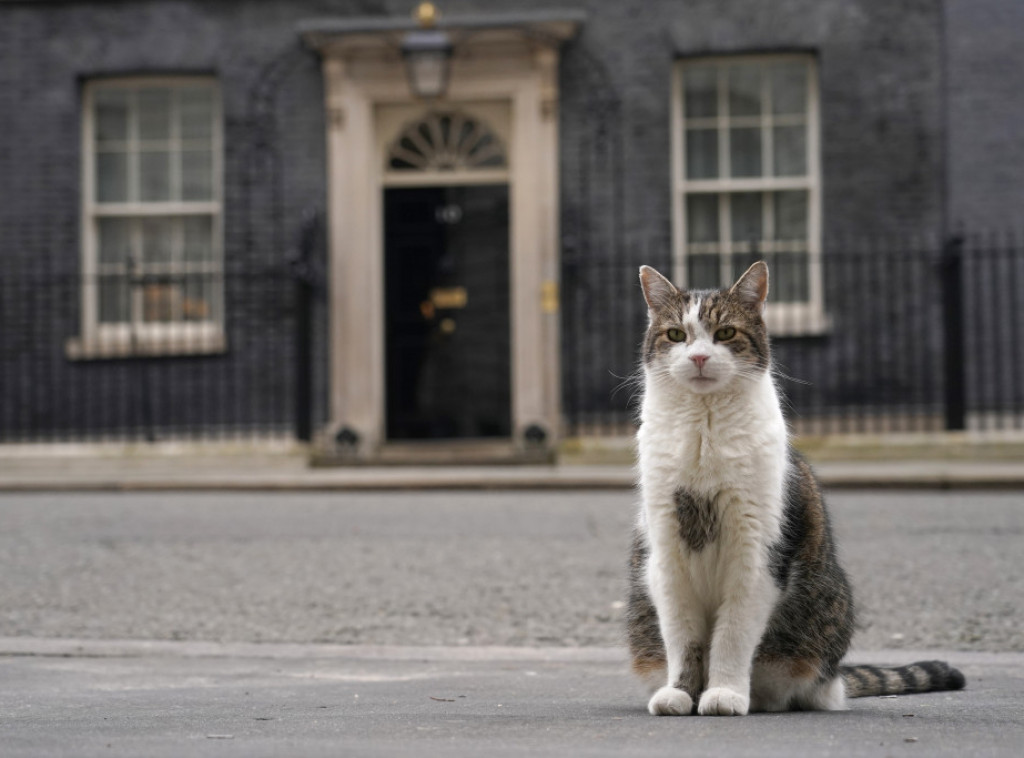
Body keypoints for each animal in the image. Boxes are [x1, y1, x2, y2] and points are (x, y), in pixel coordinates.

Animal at [626, 262, 962, 717]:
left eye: (725, 333)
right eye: (676, 335)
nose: (698, 357)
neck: (704, 429)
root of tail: (835, 678)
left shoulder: (756, 554)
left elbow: (732, 634)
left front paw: (724, 693)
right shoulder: (666, 553)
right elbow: (683, 637)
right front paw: (680, 692)